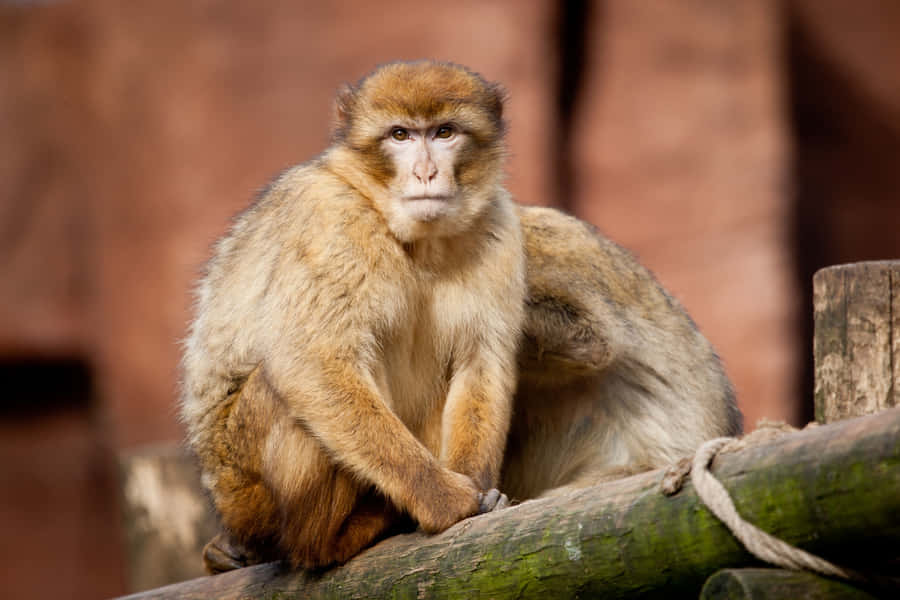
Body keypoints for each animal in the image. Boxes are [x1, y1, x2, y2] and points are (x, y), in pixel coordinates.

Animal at [180, 61, 525, 572]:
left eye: (444, 132)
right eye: (400, 135)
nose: (426, 172)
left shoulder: (499, 225)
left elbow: (480, 361)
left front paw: (482, 494)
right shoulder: (330, 220)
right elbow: (313, 361)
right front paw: (444, 499)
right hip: (247, 491)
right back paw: (331, 540)